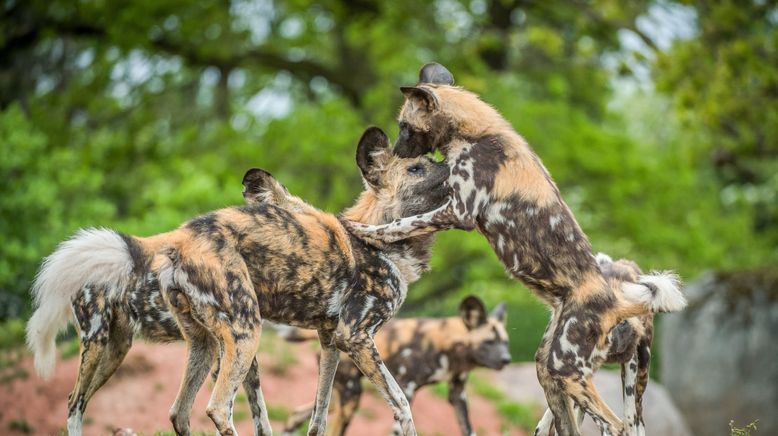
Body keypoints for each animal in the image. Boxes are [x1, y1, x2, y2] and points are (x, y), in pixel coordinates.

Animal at [278, 296, 510, 436]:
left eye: (505, 342)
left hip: (338, 396)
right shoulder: (406, 390)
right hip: (351, 396)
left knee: (300, 413)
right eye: (489, 342)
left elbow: (468, 428)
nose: (507, 360)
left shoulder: (458, 394)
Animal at [346, 62, 684, 436]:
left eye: (404, 126)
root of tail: (618, 301)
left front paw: (366, 231)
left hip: (568, 368)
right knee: (577, 422)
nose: (398, 150)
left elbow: (403, 223)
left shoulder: (459, 211)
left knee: (616, 426)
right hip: (552, 368)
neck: (475, 134)